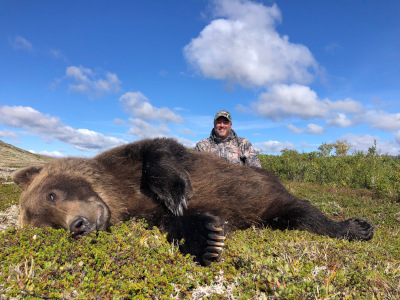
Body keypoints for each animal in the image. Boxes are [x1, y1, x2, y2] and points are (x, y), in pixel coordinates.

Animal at [13, 138, 376, 264]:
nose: (77, 225)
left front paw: (177, 192)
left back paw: (357, 227)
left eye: (52, 194)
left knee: (307, 213)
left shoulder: (129, 158)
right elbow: (172, 224)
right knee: (297, 215)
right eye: (48, 226)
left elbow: (159, 152)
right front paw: (208, 237)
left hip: (268, 195)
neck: (119, 195)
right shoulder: (143, 215)